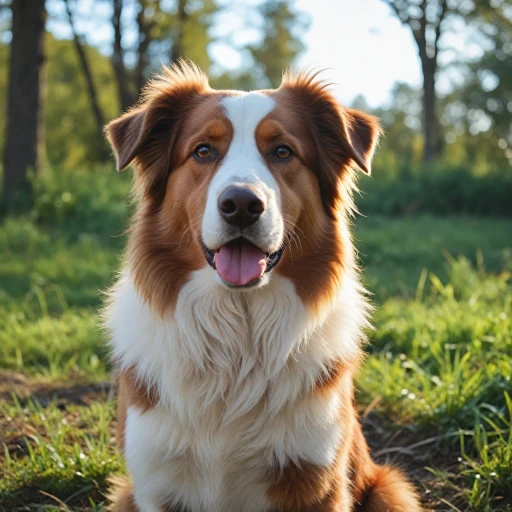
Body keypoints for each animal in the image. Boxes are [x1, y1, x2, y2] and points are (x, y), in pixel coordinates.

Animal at [102, 61, 422, 512]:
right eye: (203, 151)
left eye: (283, 152)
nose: (241, 204)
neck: (240, 333)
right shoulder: (156, 484)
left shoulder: (317, 481)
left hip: (388, 489)